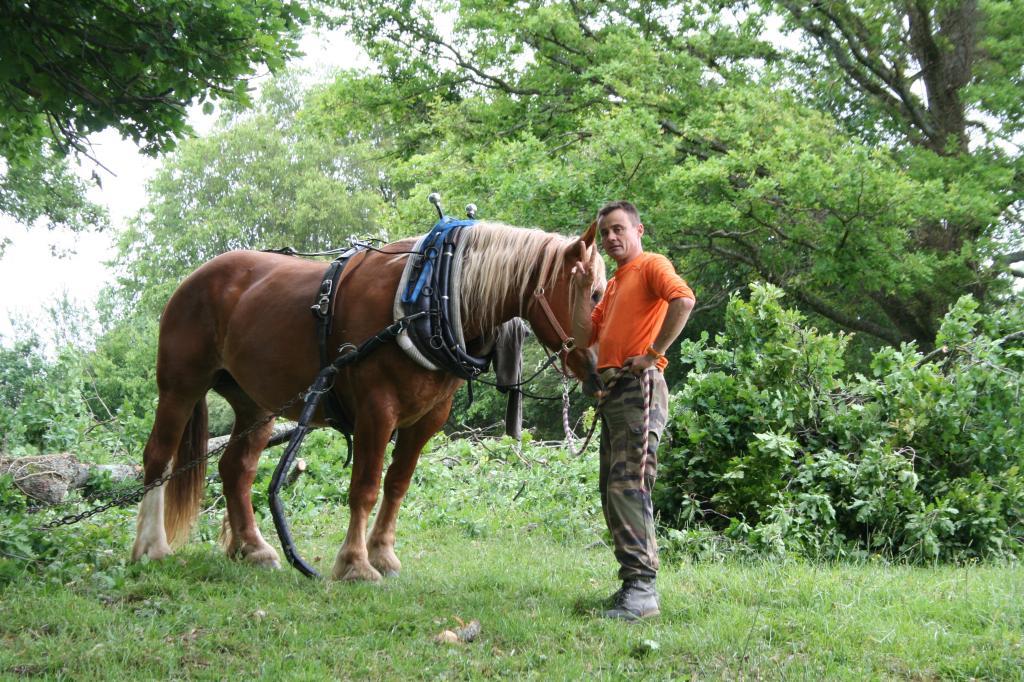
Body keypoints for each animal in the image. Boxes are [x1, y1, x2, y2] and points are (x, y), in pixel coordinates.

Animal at [131, 219, 602, 577]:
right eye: (596, 293)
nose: (599, 367)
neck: (431, 298)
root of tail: (196, 277)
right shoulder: (377, 411)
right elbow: (365, 488)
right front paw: (356, 564)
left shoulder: (427, 419)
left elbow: (397, 485)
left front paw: (384, 555)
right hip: (180, 385)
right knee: (159, 457)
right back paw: (151, 547)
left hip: (255, 403)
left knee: (236, 470)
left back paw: (253, 548)